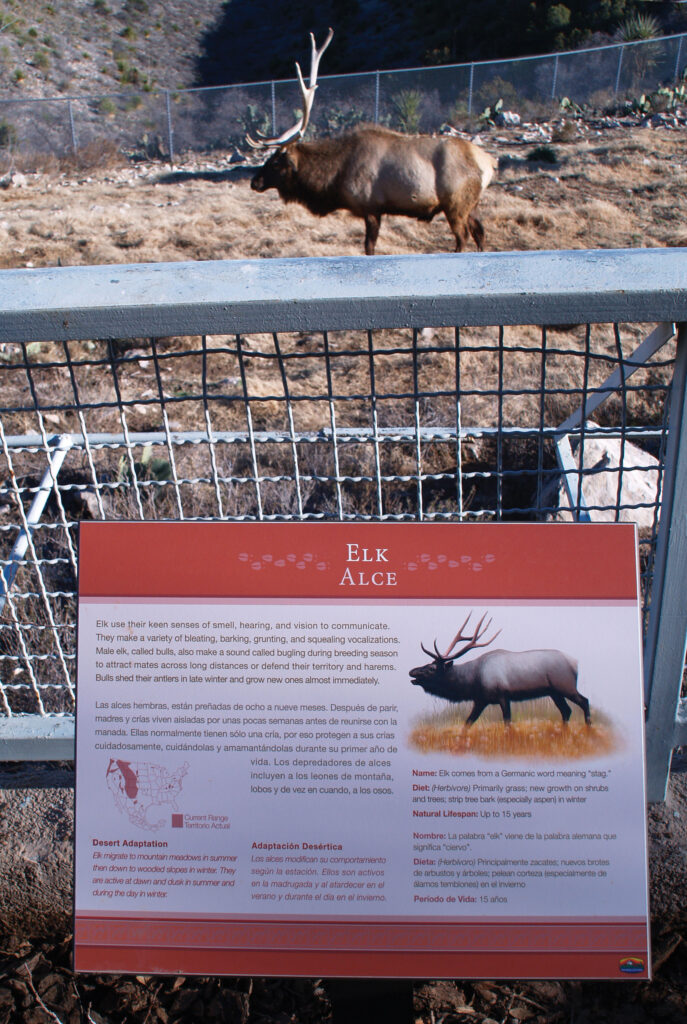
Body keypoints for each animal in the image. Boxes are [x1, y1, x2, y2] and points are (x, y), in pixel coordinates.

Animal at [248, 30, 496, 255]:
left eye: (276, 162)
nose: (254, 182)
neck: (335, 176)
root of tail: (490, 162)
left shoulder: (371, 206)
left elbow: (369, 248)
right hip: (472, 205)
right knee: (481, 234)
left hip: (456, 204)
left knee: (463, 238)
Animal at [409, 612, 591, 726]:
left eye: (431, 668)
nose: (411, 671)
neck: (473, 680)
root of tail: (576, 663)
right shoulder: (481, 700)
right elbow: (467, 723)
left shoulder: (504, 696)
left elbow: (507, 723)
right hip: (554, 692)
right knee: (566, 711)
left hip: (565, 686)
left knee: (584, 702)